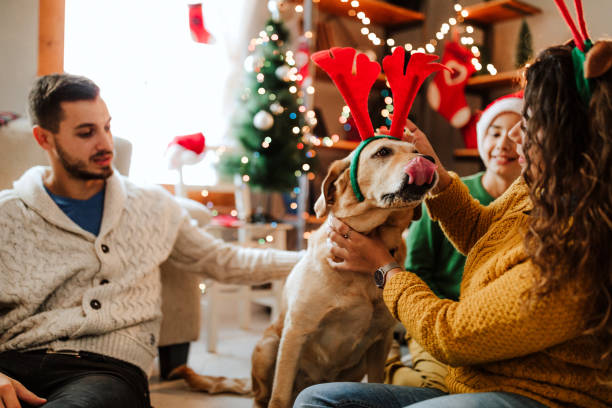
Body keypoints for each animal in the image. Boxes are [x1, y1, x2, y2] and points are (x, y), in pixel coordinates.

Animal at [251, 138, 438, 408]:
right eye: (383, 152)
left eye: (415, 150)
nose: (429, 160)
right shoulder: (295, 332)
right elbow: (279, 395)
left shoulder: (381, 340)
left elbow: (377, 381)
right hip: (268, 346)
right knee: (262, 396)